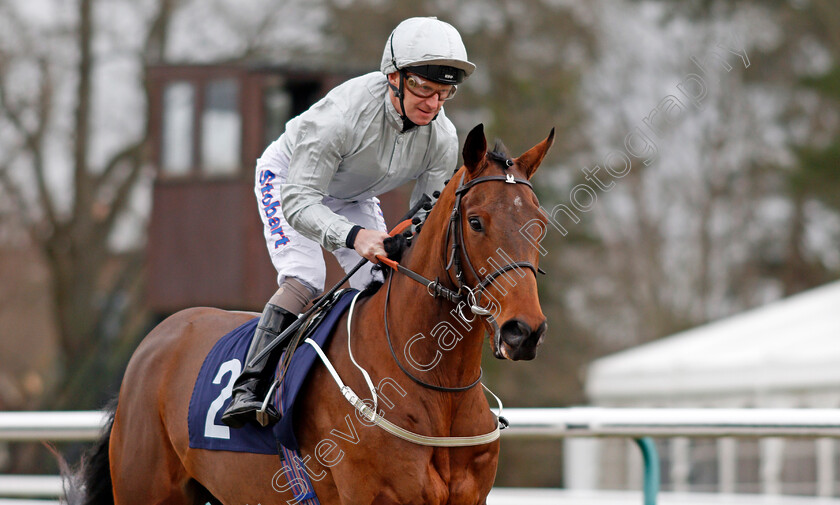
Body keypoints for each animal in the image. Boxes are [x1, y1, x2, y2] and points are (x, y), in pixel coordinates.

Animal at [77, 123, 552, 504]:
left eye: (540, 223)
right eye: (476, 221)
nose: (523, 331)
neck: (436, 389)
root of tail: (155, 341)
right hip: (145, 489)